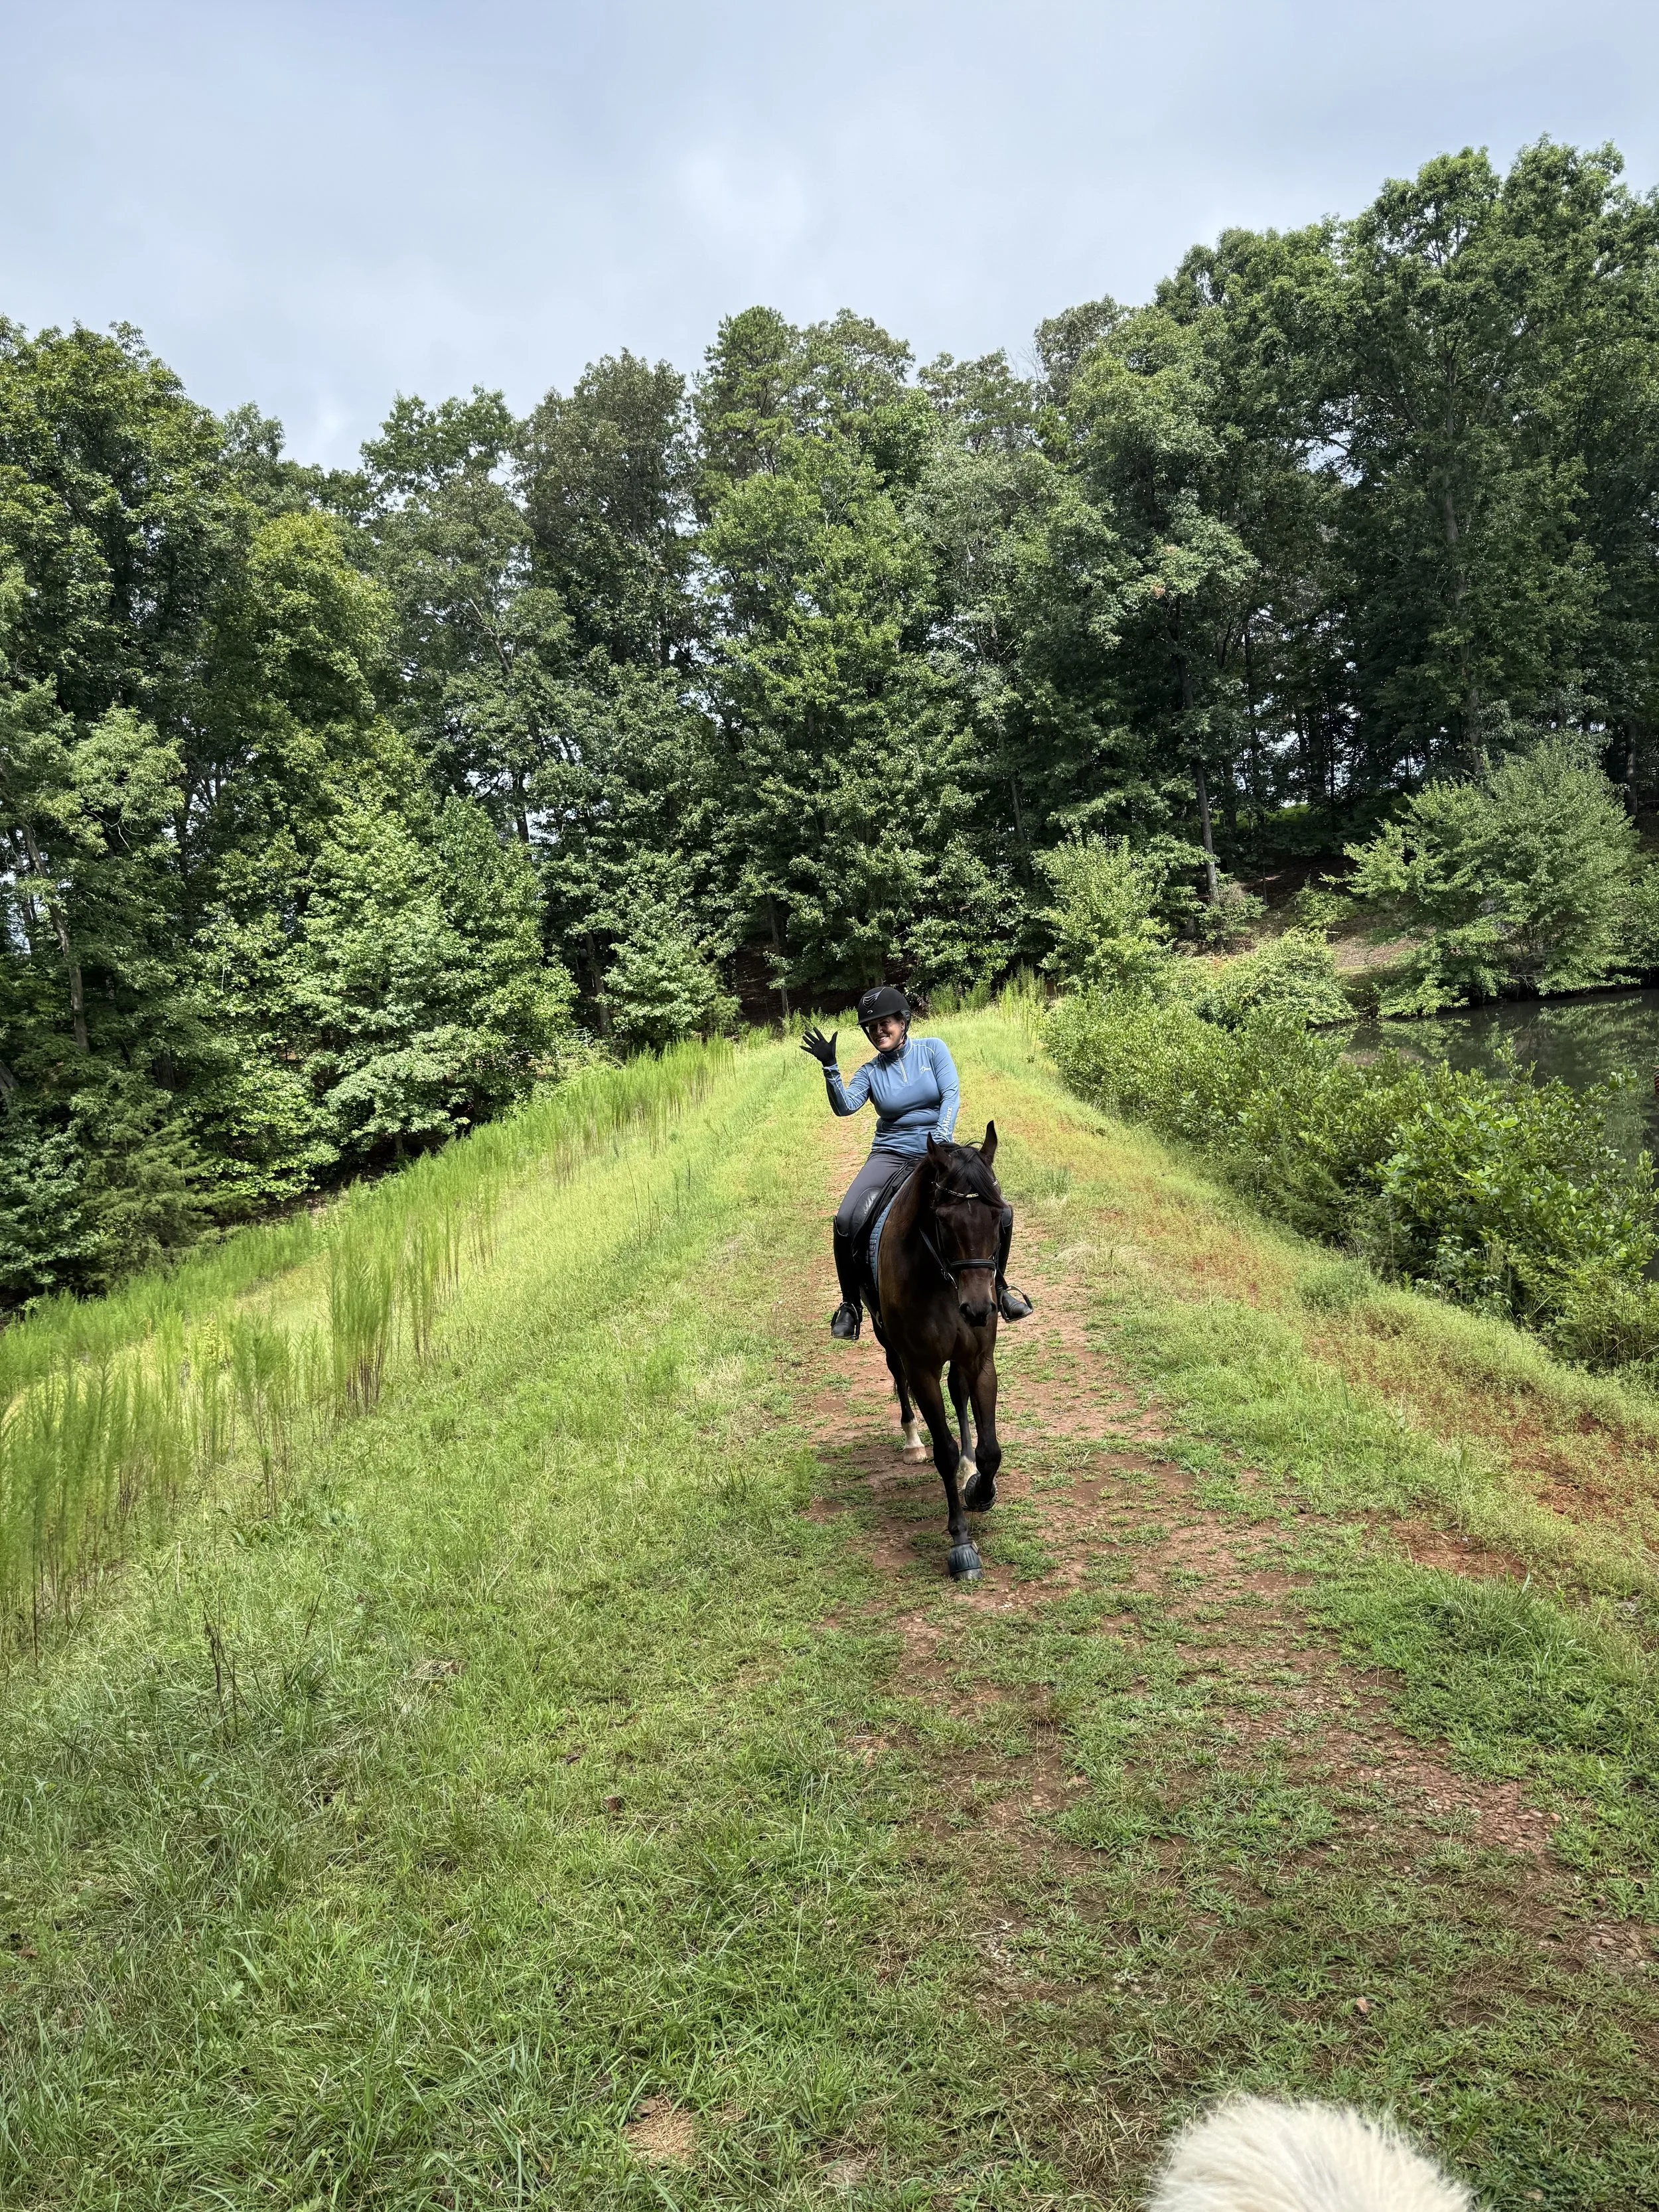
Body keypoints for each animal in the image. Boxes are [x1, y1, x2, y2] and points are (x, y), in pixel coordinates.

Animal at [869, 1121, 1006, 1581]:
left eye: (998, 1216)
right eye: (944, 1221)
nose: (979, 1309)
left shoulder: (979, 1361)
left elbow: (990, 1449)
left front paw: (979, 1489)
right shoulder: (922, 1368)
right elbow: (942, 1451)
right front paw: (961, 1543)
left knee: (958, 1393)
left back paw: (968, 1468)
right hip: (886, 1338)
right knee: (897, 1375)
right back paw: (913, 1441)